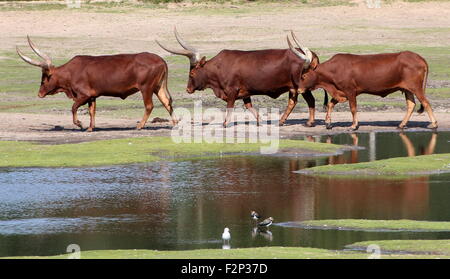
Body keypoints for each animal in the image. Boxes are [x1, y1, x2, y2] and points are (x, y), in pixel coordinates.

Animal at [15, 36, 175, 132]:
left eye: (44, 79)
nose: (39, 93)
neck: (70, 72)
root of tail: (161, 60)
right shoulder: (92, 96)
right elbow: (92, 111)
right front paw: (90, 128)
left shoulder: (83, 95)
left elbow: (73, 108)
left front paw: (79, 124)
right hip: (158, 87)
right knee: (167, 102)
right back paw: (175, 123)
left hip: (146, 88)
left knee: (149, 106)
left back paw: (140, 126)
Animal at [156, 28, 326, 128]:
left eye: (191, 74)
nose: (188, 89)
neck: (218, 67)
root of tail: (310, 54)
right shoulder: (245, 92)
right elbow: (249, 106)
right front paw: (259, 120)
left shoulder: (232, 90)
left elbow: (229, 107)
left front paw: (225, 123)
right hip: (295, 87)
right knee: (296, 101)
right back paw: (286, 121)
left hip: (300, 86)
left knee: (307, 100)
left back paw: (307, 122)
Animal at [288, 39, 440, 131]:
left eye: (304, 76)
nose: (298, 89)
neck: (333, 70)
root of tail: (419, 57)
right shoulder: (340, 92)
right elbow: (330, 104)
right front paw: (328, 123)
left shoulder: (350, 91)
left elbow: (353, 108)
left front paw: (354, 125)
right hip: (407, 88)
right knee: (411, 105)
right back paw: (402, 124)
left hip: (416, 87)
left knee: (425, 102)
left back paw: (433, 124)